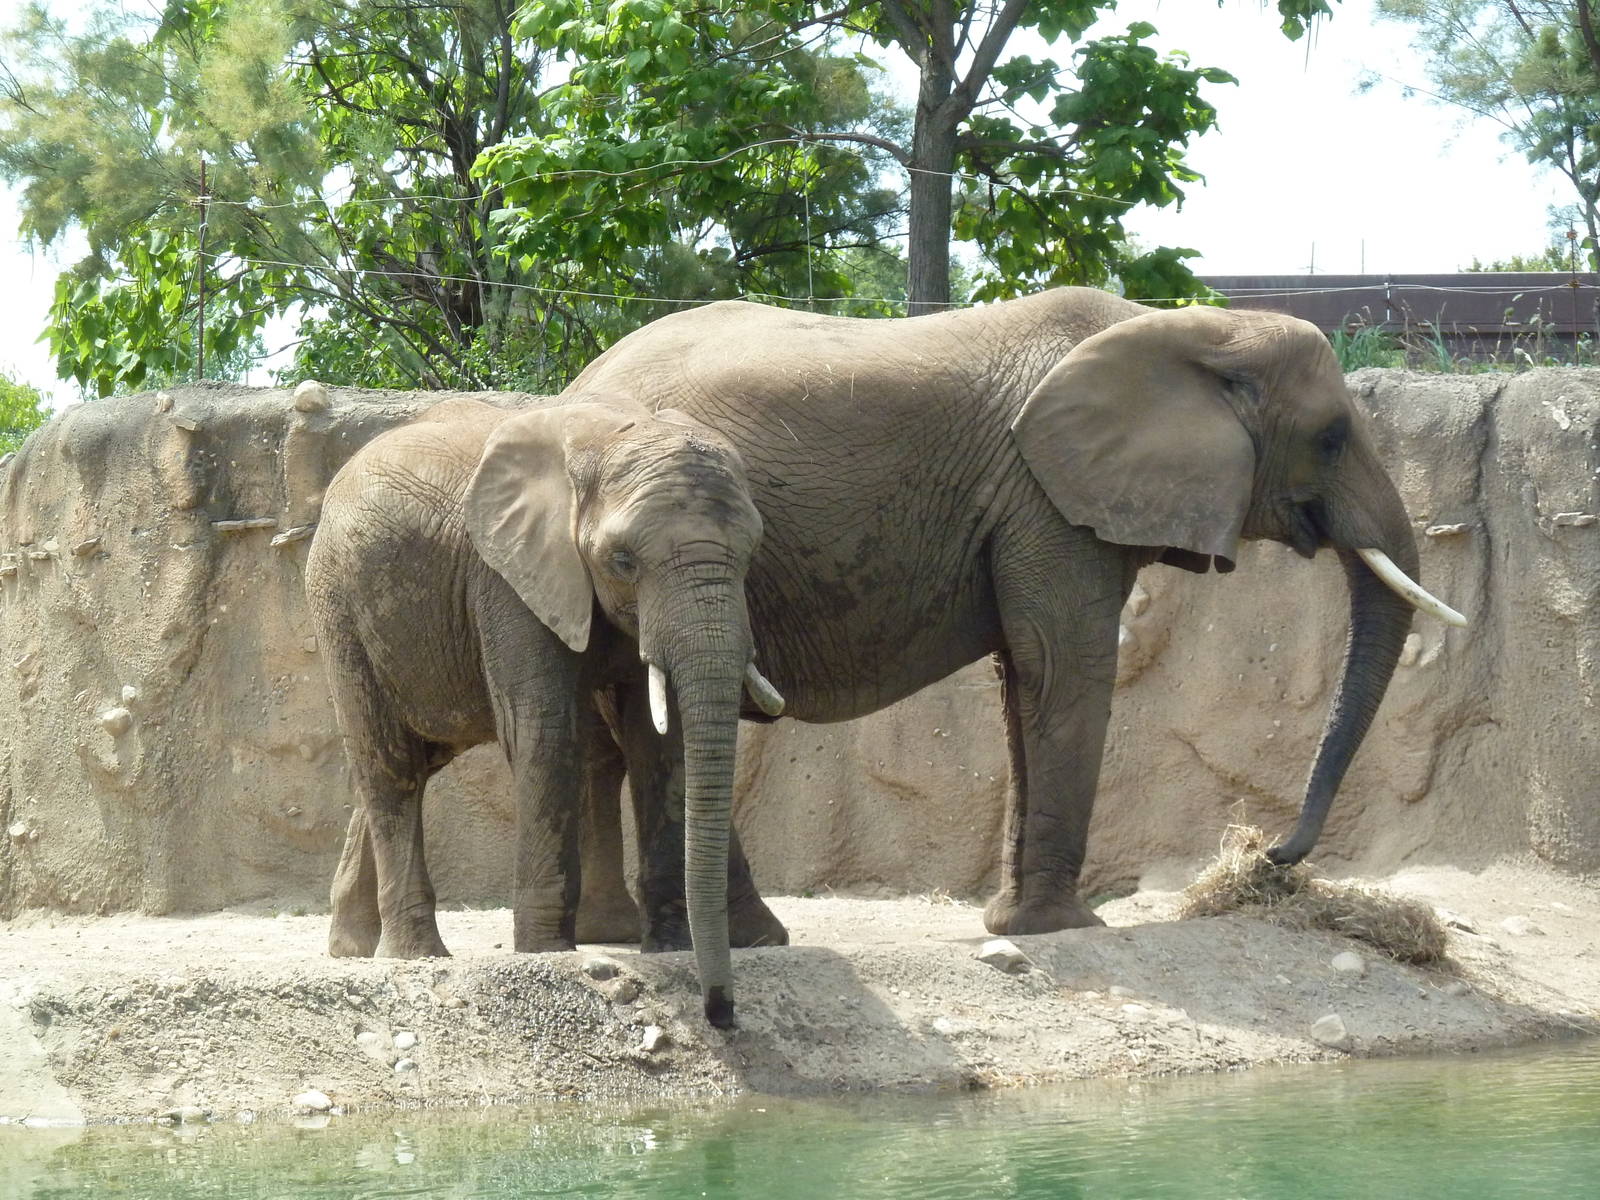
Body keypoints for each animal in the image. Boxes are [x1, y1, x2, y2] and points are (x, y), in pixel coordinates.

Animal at [304, 394, 787, 1028]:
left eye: (752, 553)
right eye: (623, 560)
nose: (722, 1013)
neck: (603, 438)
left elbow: (658, 742)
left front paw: (670, 947)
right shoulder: (506, 577)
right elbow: (544, 726)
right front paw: (545, 952)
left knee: (413, 761)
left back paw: (353, 948)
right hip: (338, 605)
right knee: (389, 764)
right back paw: (412, 955)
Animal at [567, 288, 1466, 939]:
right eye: (1333, 437)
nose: (1272, 851)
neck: (1187, 328)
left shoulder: (1033, 504)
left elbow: (1020, 679)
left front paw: (1013, 924)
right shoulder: (1046, 498)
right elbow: (1064, 664)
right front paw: (1064, 928)